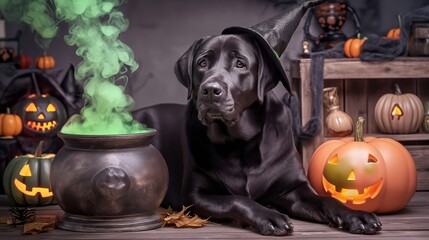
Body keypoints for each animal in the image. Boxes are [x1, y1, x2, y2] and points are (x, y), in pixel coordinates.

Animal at [174, 34, 382, 235]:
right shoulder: (195, 197)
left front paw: (356, 215)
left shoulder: (294, 189)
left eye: (240, 63)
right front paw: (269, 216)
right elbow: (237, 200)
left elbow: (327, 199)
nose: (210, 90)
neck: (239, 143)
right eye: (202, 63)